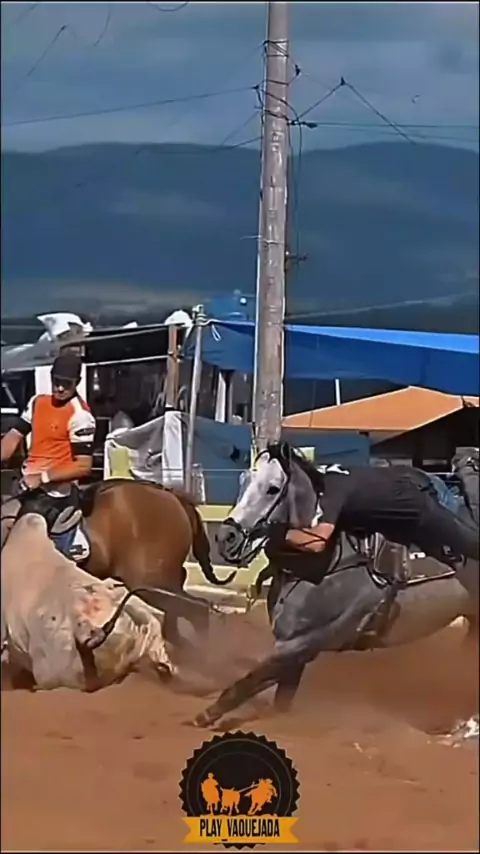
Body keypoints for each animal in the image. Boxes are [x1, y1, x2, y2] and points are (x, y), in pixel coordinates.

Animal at [192, 443, 479, 729]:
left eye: (272, 488)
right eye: (244, 480)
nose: (226, 538)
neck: (327, 561)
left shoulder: (303, 643)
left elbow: (248, 683)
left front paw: (206, 715)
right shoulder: (295, 649)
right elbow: (280, 698)